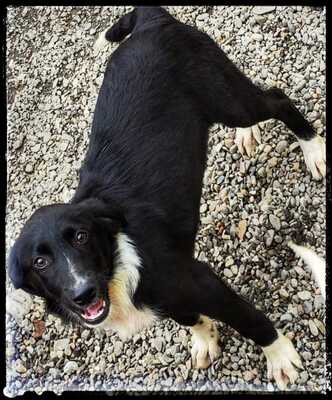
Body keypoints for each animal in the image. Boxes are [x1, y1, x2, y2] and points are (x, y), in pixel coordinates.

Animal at [7, 7, 324, 390]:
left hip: (228, 101)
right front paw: (204, 339)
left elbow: (252, 322)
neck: (117, 268)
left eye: (81, 236)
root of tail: (151, 20)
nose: (83, 294)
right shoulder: (169, 302)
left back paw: (313, 150)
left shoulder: (203, 283)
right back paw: (249, 135)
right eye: (40, 262)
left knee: (278, 99)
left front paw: (280, 358)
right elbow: (190, 319)